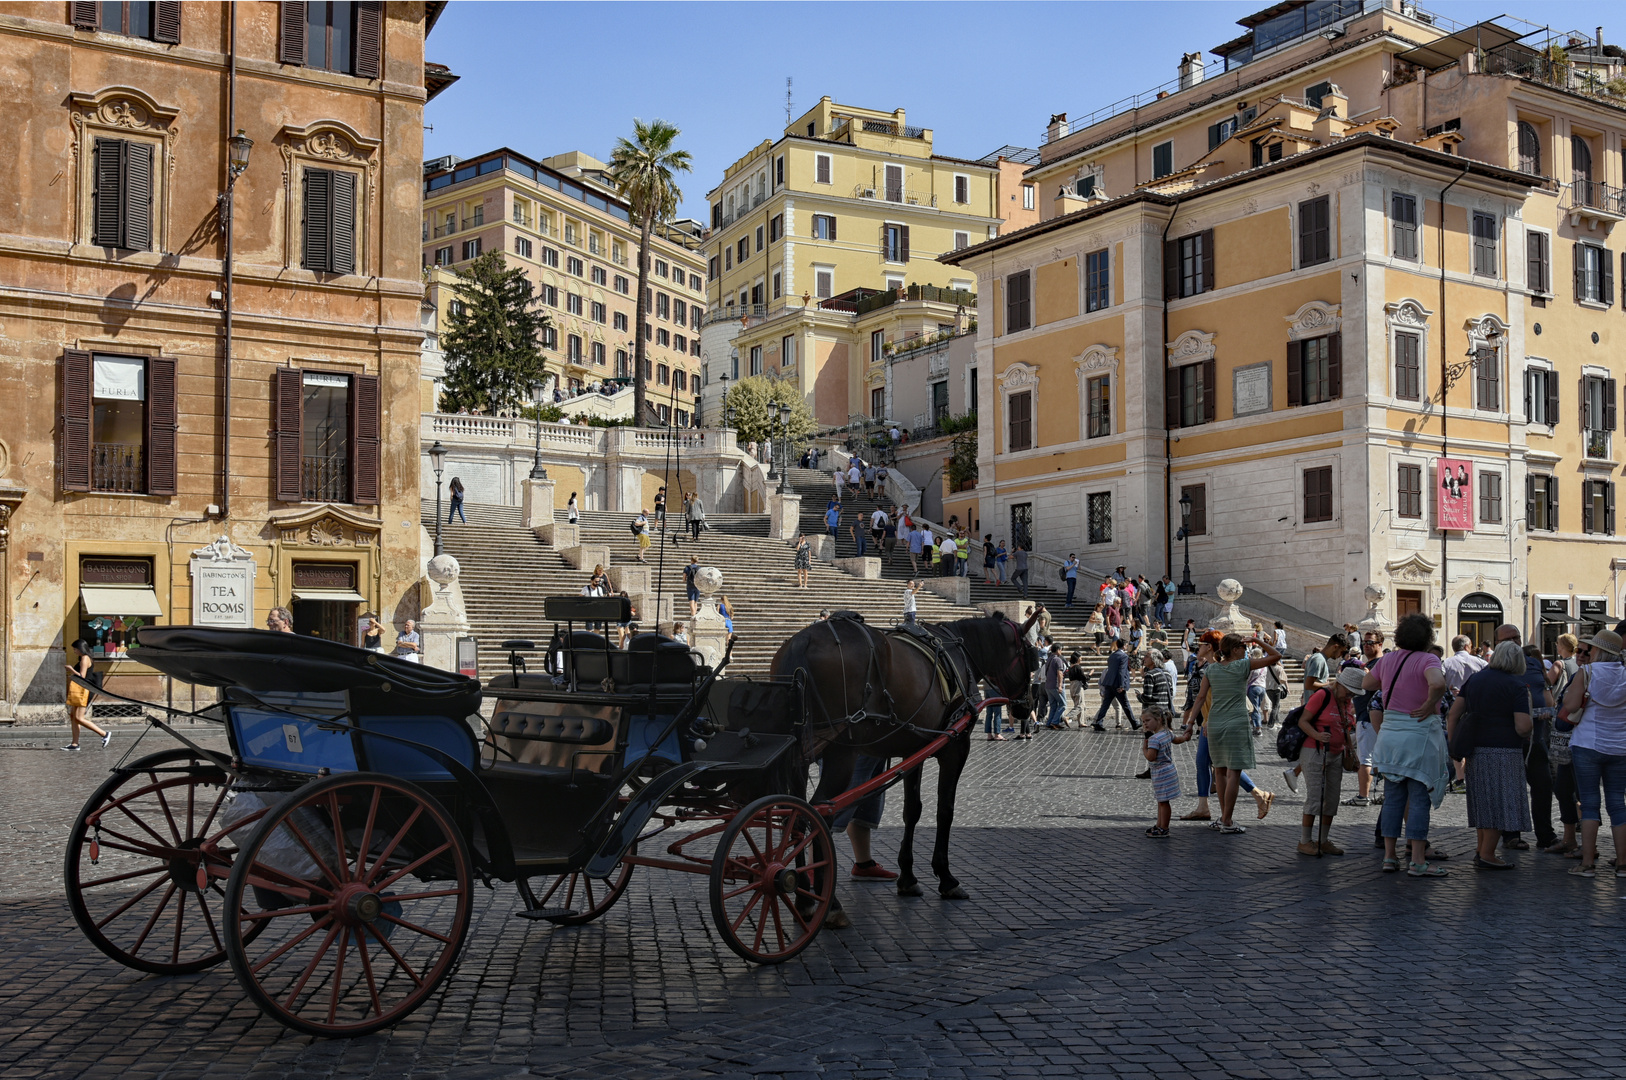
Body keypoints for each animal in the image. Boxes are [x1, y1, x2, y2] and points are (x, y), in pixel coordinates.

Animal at [764, 608, 1040, 904]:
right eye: (1032, 657)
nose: (1027, 706)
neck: (959, 651)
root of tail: (802, 643)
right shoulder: (955, 748)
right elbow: (945, 810)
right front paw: (946, 877)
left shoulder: (914, 750)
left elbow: (912, 811)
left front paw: (907, 878)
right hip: (840, 753)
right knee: (818, 812)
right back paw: (826, 901)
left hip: (797, 754)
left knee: (793, 815)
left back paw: (801, 891)